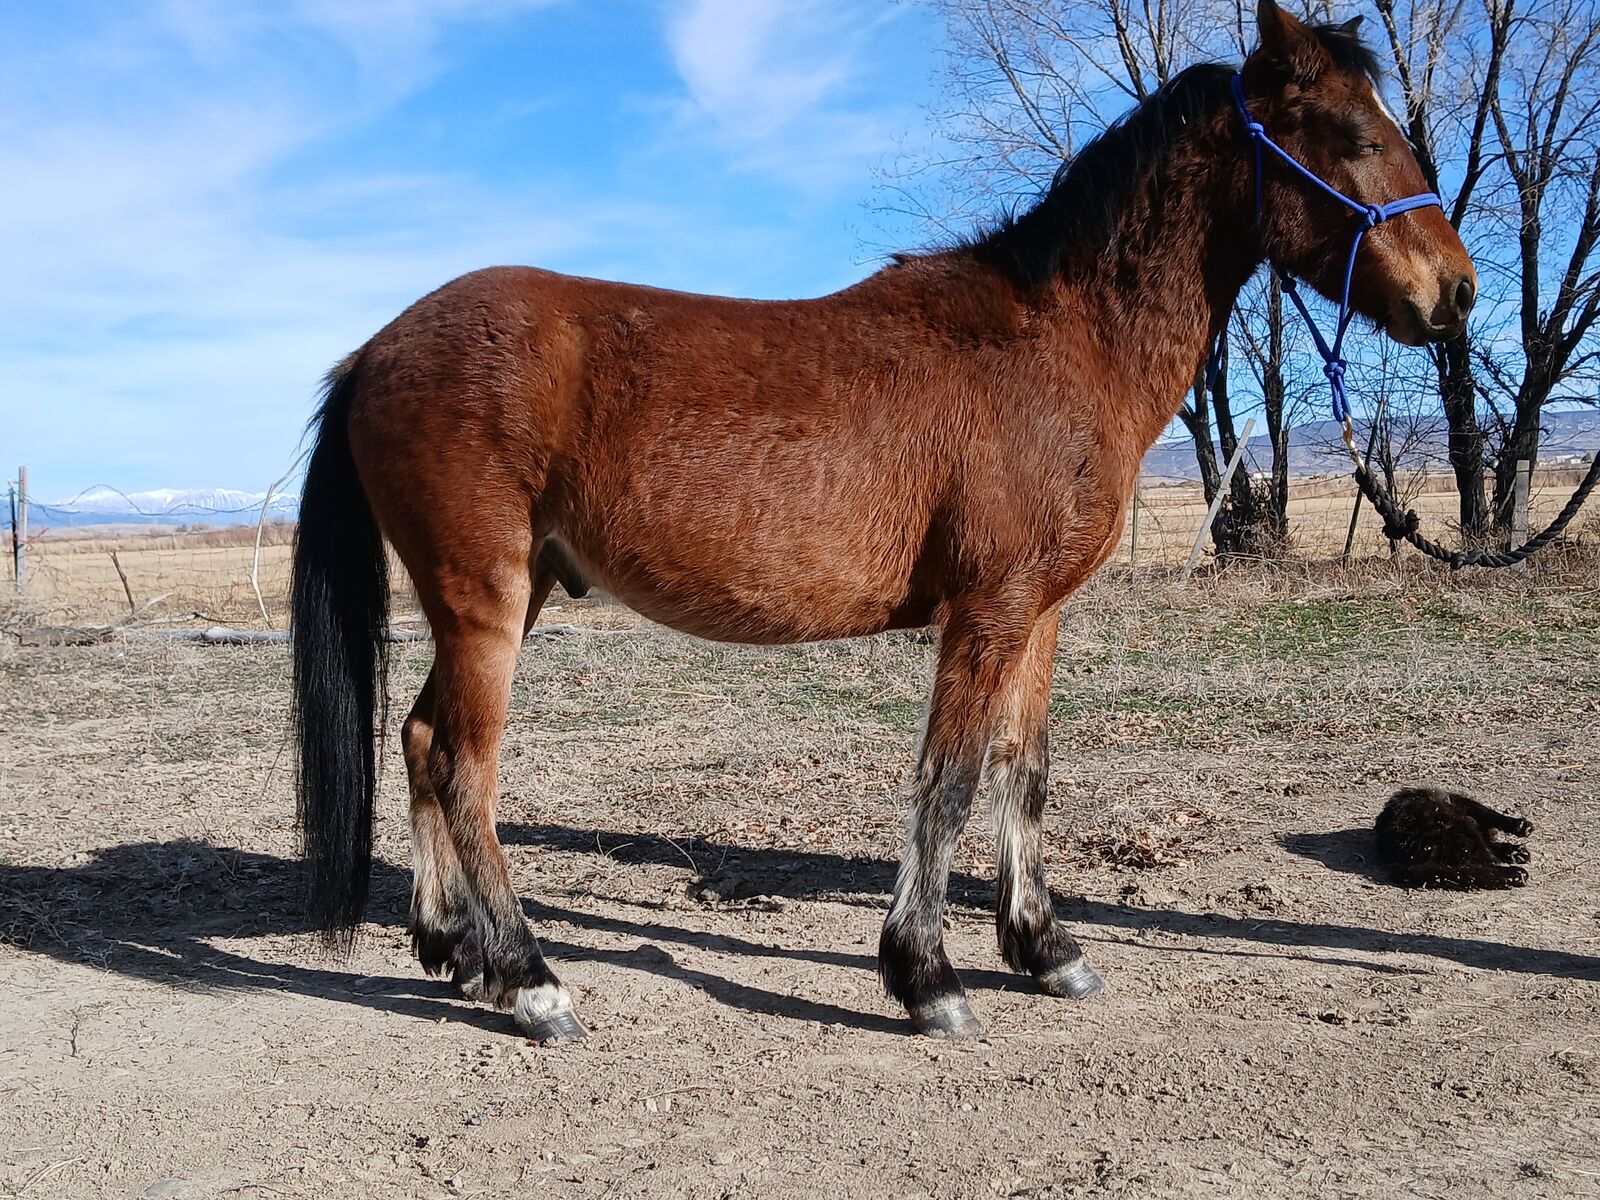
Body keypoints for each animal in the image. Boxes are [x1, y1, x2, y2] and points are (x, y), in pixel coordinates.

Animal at [291, 0, 1475, 1041]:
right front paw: (926, 977)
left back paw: (454, 951)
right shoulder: (986, 612)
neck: (1055, 343)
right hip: (482, 601)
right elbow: (947, 784)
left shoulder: (1039, 615)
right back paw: (529, 978)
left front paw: (1044, 950)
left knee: (418, 740)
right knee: (462, 765)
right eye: (1359, 135)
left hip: (502, 599)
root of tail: (376, 350)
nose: (1457, 294)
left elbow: (1022, 773)